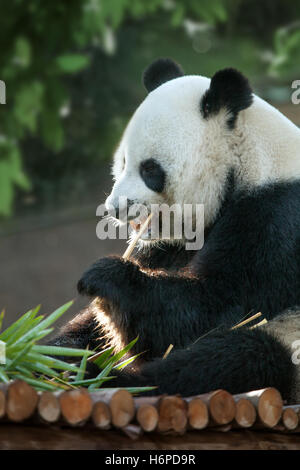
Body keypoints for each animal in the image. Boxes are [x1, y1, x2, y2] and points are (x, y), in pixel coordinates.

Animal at [50, 57, 300, 404]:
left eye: (149, 169)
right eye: (122, 163)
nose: (115, 208)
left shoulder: (276, 219)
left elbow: (214, 310)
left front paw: (105, 277)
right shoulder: (166, 247)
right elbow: (91, 328)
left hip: (289, 338)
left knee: (234, 358)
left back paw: (101, 379)